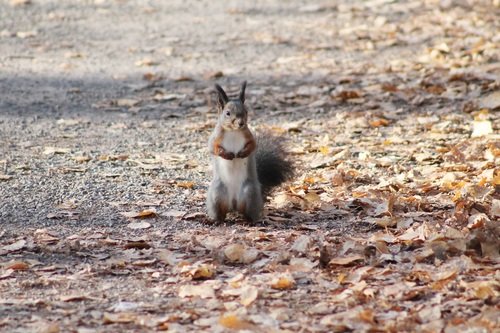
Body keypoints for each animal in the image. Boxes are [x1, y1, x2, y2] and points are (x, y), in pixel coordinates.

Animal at [206, 81, 292, 222]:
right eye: (227, 113)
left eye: (246, 111)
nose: (241, 123)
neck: (233, 131)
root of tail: (233, 205)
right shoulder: (214, 138)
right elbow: (213, 149)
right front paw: (227, 155)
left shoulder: (249, 136)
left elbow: (252, 146)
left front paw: (242, 154)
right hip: (217, 194)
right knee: (220, 213)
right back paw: (216, 221)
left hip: (250, 193)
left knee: (247, 212)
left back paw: (249, 221)